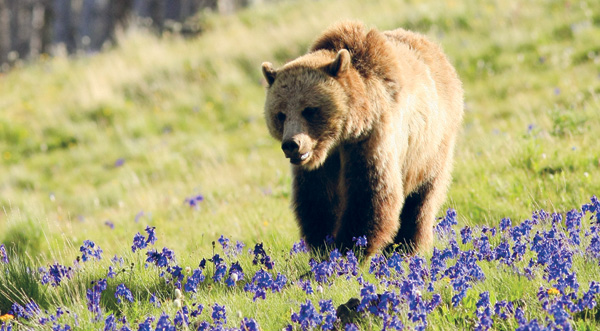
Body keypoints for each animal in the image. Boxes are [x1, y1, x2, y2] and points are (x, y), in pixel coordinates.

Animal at [262, 22, 464, 258]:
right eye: (280, 114)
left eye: (310, 110)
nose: (292, 144)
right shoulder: (320, 166)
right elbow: (316, 201)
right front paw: (322, 246)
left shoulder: (372, 139)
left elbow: (369, 194)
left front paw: (348, 249)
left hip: (431, 146)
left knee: (421, 199)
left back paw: (409, 247)